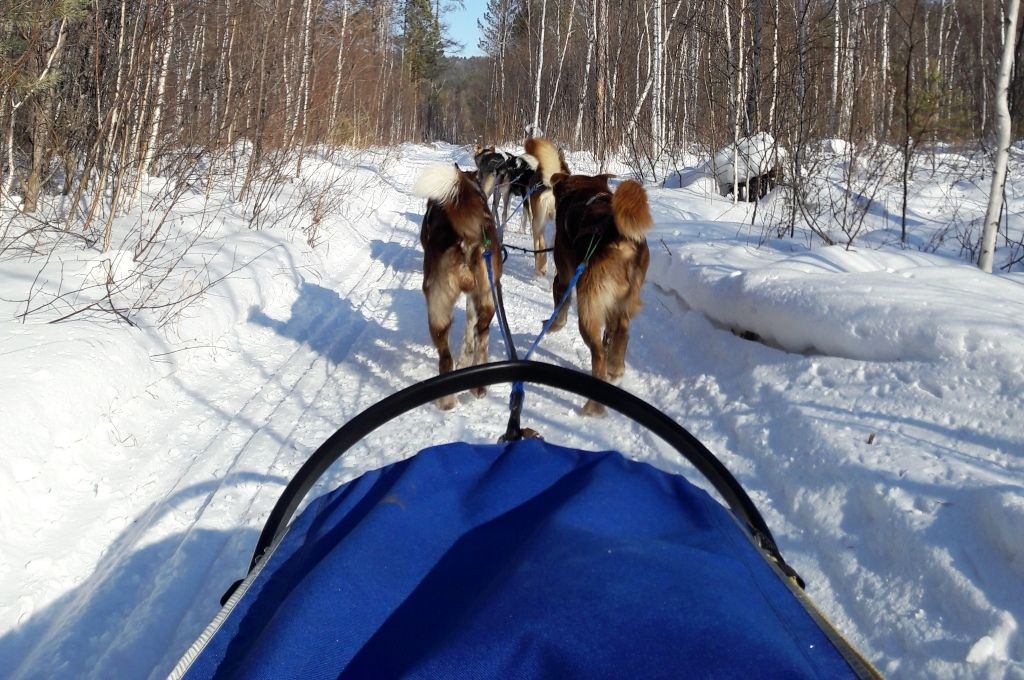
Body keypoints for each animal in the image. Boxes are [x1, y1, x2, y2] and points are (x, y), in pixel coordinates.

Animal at [411, 164, 499, 409]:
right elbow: (470, 330)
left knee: (445, 358)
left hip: (436, 306)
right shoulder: (474, 298)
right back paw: (479, 386)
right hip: (487, 297)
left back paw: (446, 402)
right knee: (481, 334)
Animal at [548, 171, 651, 413]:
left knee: (598, 354)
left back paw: (593, 406)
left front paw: (553, 325)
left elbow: (559, 302)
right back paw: (615, 368)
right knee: (621, 332)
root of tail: (618, 237)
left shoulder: (565, 277)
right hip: (623, 303)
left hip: (589, 309)